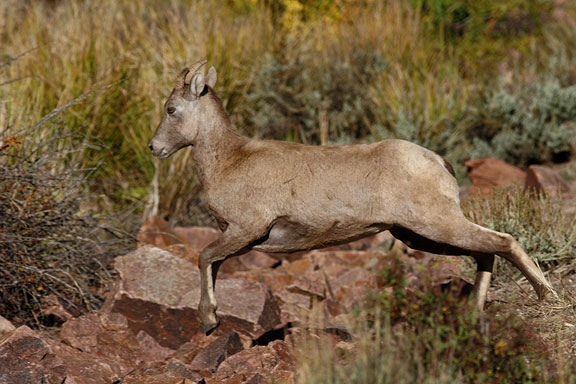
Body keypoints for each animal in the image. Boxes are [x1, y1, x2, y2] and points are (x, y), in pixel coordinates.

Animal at [151, 59, 556, 332]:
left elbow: (204, 257)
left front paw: (208, 319)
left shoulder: (246, 230)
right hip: (420, 235)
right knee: (485, 253)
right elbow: (212, 264)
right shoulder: (236, 238)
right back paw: (475, 312)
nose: (155, 148)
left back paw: (547, 298)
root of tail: (438, 162)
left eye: (171, 109)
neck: (227, 160)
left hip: (438, 225)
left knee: (502, 241)